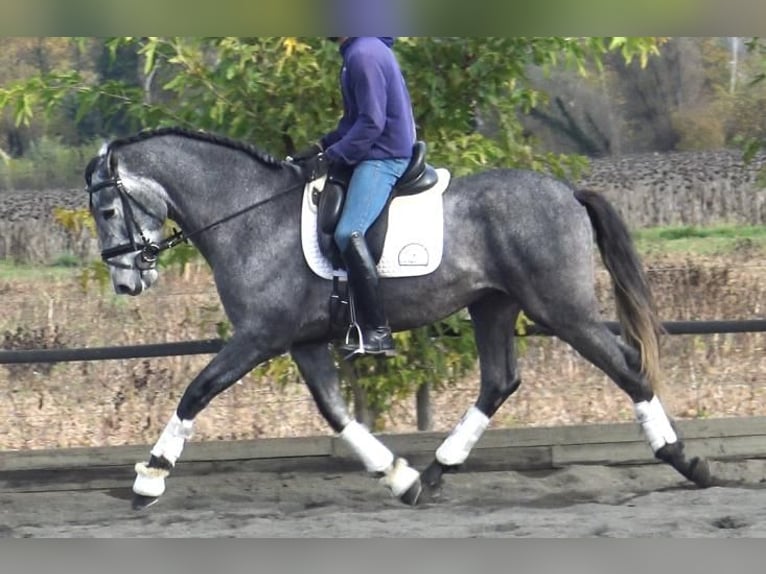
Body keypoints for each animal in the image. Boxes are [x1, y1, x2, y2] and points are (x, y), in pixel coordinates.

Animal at [85, 128, 712, 510]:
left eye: (108, 208)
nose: (126, 282)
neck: (249, 216)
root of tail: (568, 192)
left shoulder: (260, 335)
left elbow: (197, 390)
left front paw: (149, 477)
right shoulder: (302, 341)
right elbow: (336, 414)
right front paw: (399, 477)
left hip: (560, 308)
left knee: (627, 365)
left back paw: (685, 461)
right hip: (493, 305)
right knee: (500, 381)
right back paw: (433, 475)